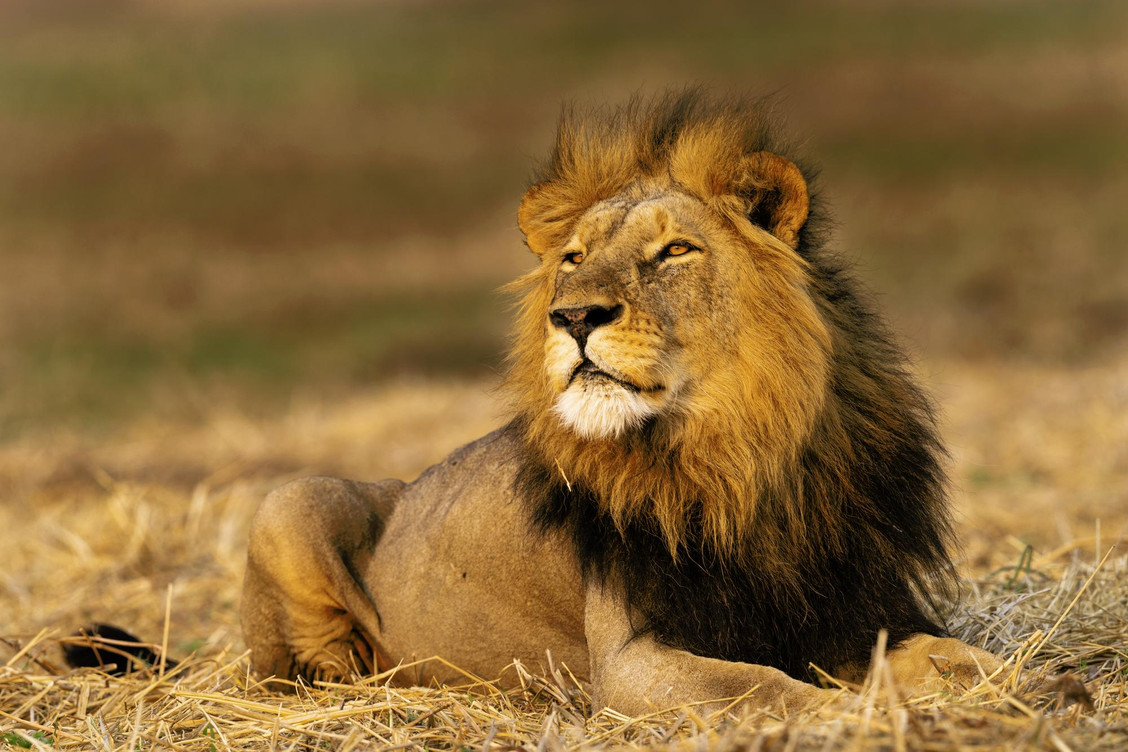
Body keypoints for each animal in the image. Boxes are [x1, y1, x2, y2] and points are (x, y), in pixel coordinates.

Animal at [241, 91, 1003, 716]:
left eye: (675, 251)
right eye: (573, 259)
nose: (574, 316)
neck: (744, 453)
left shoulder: (859, 612)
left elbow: (957, 657)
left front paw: (1016, 685)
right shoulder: (630, 659)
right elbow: (761, 687)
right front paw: (846, 713)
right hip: (292, 501)